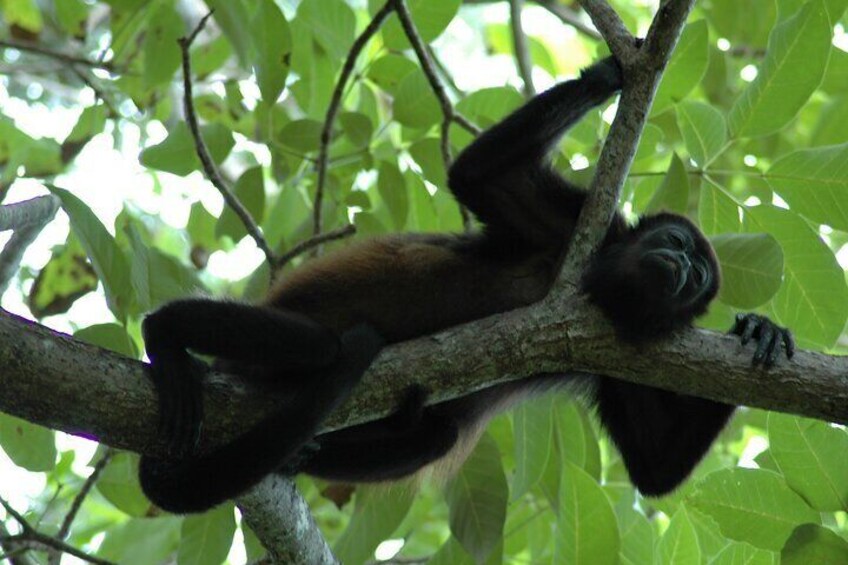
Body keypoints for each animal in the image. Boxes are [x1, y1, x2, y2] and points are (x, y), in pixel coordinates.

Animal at [137, 51, 796, 512]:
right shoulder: (572, 223)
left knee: (431, 436)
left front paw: (760, 331)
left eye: (697, 280)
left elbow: (655, 468)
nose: (683, 268)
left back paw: (313, 451)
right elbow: (477, 175)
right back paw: (165, 334)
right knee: (323, 348)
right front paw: (608, 74)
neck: (606, 289)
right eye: (679, 245)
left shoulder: (622, 354)